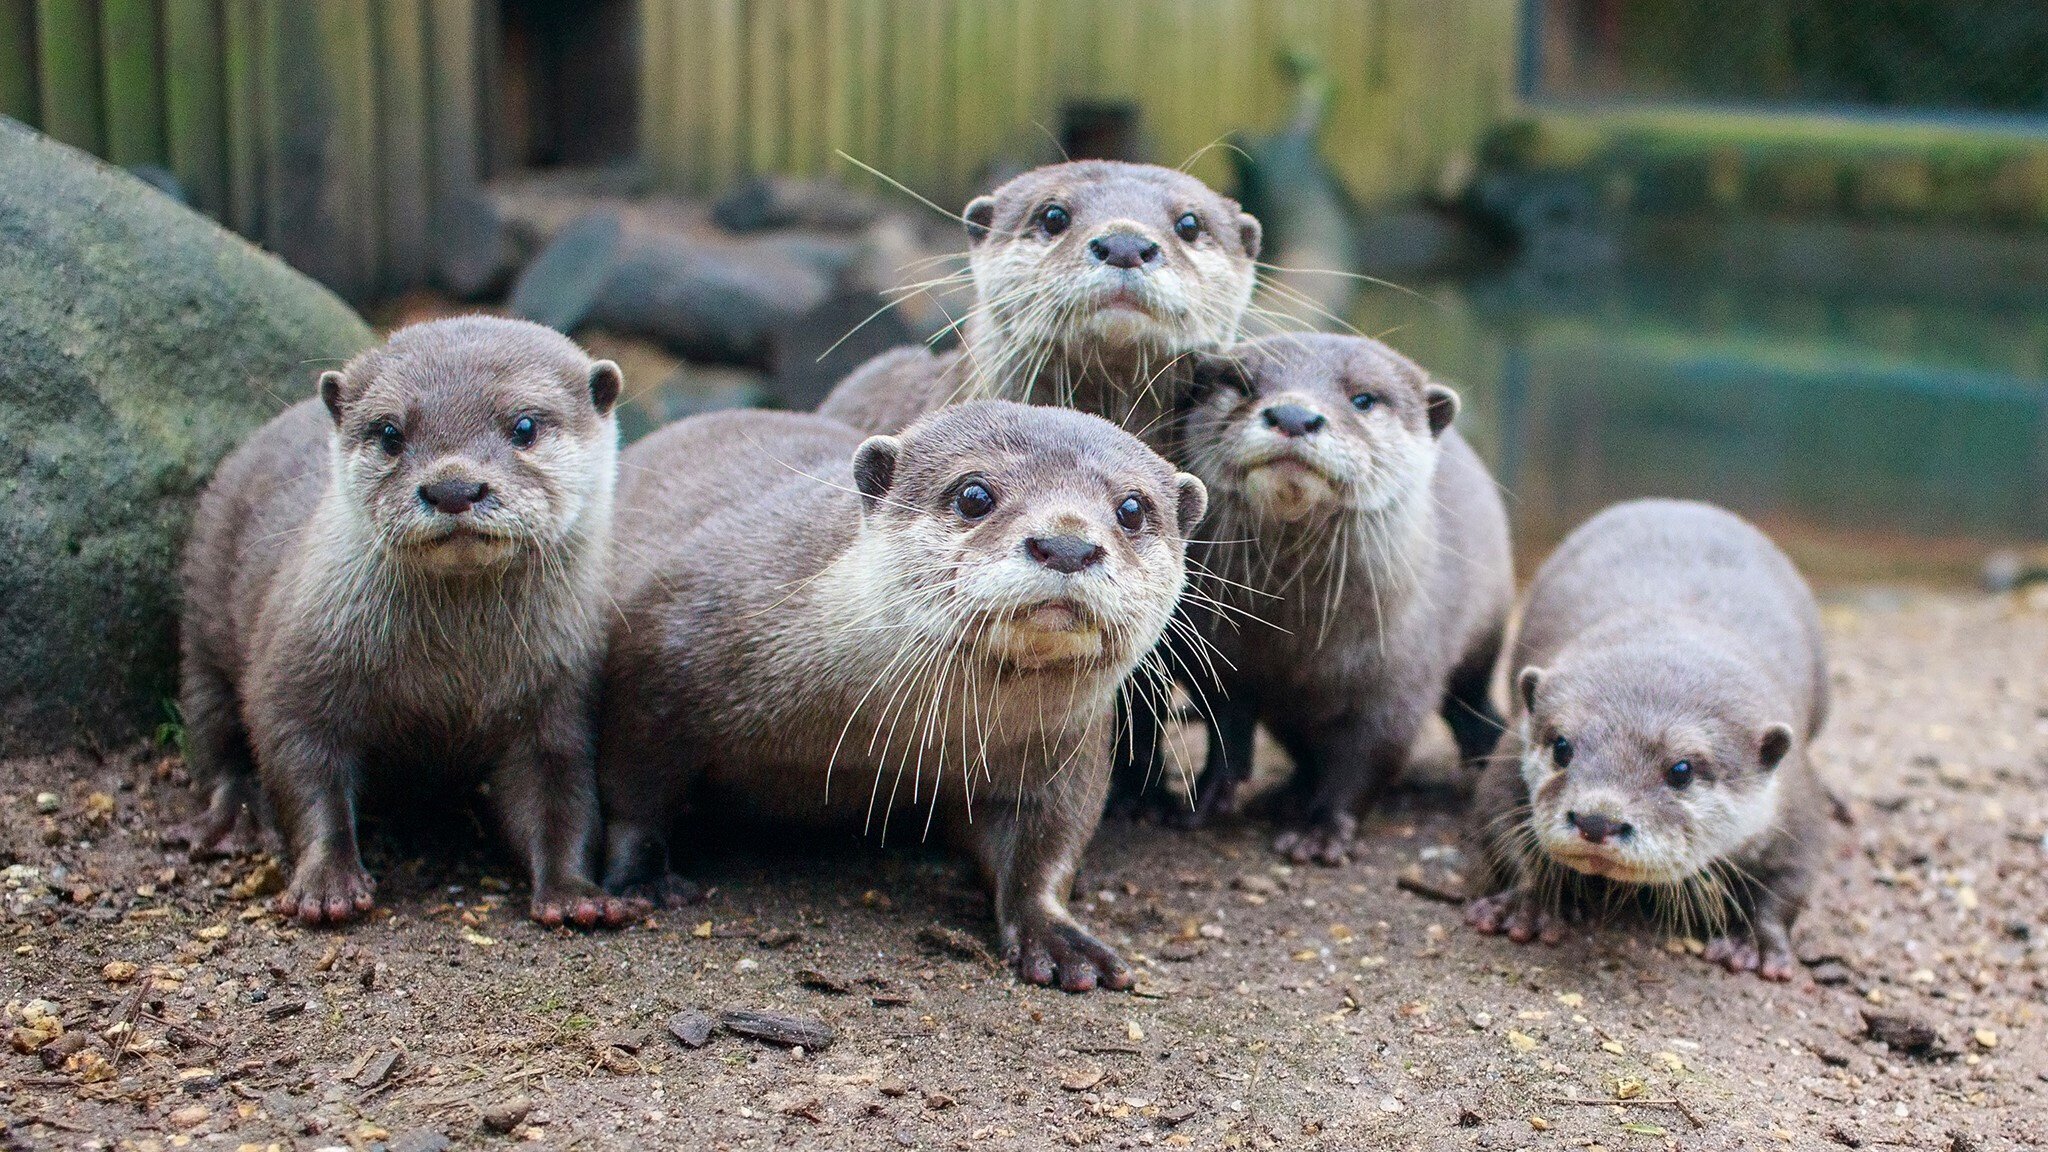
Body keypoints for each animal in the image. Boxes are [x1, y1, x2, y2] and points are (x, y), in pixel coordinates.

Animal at [176, 317, 638, 926]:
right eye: (391, 433)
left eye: (524, 426)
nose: (453, 489)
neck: (448, 670)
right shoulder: (297, 664)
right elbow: (301, 762)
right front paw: (327, 882)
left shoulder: (561, 693)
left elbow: (560, 797)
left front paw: (573, 893)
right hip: (203, 616)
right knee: (214, 730)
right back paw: (233, 817)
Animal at [593, 397, 1196, 988]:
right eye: (974, 495)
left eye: (1132, 509)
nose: (1066, 545)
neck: (877, 736)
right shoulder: (659, 658)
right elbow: (634, 790)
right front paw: (642, 880)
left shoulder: (1066, 745)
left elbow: (1048, 841)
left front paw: (1056, 935)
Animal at [1114, 327, 1515, 856]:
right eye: (1241, 384)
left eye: (1363, 399)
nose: (1293, 415)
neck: (1294, 636)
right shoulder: (1221, 660)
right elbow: (1226, 734)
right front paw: (1202, 803)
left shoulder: (1400, 677)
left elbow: (1369, 757)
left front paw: (1322, 831)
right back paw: (1285, 794)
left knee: (1471, 698)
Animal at [1466, 496, 1835, 975]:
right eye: (1562, 747)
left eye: (1681, 770)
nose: (1597, 821)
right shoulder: (1512, 748)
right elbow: (1498, 822)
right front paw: (1527, 903)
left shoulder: (1795, 796)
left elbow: (1793, 879)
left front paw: (1754, 941)